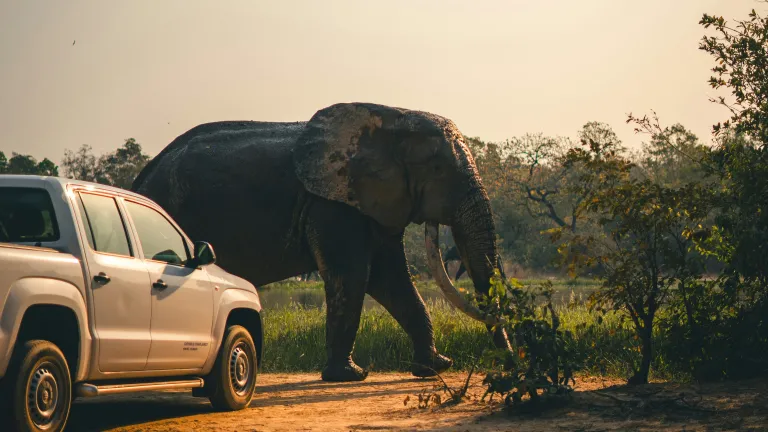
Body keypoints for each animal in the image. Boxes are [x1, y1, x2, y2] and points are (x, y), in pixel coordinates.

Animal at [131, 102, 512, 382]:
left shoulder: (372, 203)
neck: (392, 117)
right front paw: (350, 375)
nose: (506, 362)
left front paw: (434, 367)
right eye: (437, 169)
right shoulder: (331, 206)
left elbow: (392, 280)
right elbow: (354, 276)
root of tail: (141, 179)